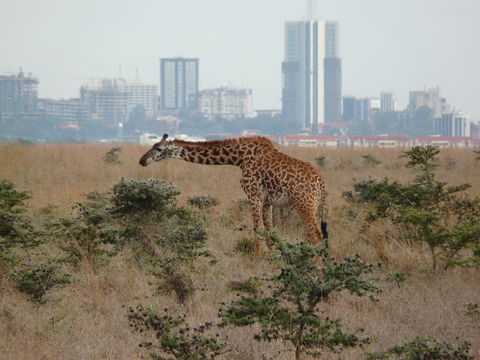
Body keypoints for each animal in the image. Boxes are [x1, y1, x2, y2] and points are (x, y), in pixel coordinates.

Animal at [139, 134, 326, 255]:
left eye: (159, 148)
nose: (142, 160)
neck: (240, 158)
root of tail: (321, 183)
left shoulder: (253, 194)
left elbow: (257, 229)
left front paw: (256, 261)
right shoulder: (267, 201)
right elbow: (270, 232)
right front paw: (273, 260)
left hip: (304, 205)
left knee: (317, 236)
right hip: (312, 206)